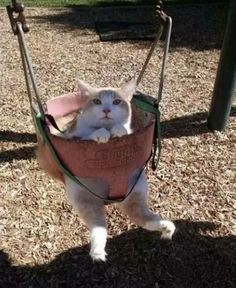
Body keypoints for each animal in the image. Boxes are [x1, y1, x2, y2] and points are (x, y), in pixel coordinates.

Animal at [39, 78, 175, 260]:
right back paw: (97, 251)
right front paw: (101, 133)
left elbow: (123, 130)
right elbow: (89, 134)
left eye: (117, 101)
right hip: (85, 199)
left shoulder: (130, 132)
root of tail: (112, 199)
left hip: (135, 192)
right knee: (98, 225)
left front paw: (118, 129)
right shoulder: (71, 137)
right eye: (97, 101)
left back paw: (165, 227)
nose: (106, 110)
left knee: (142, 217)